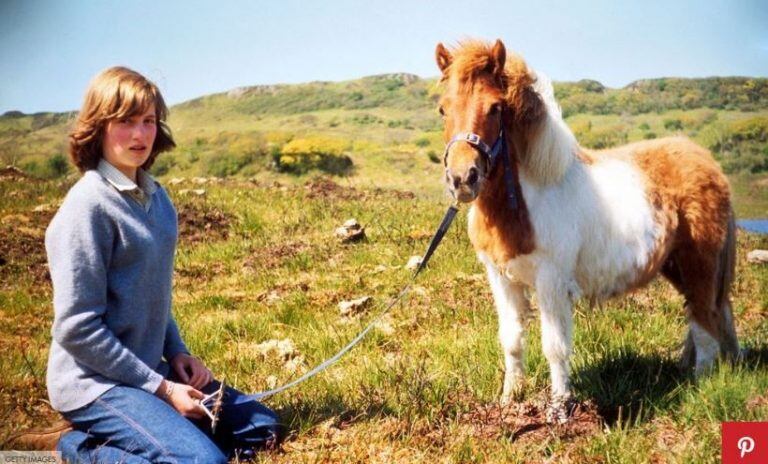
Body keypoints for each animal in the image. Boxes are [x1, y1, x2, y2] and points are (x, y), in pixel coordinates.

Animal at [432, 40, 736, 424]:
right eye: (443, 109)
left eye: (495, 108)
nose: (462, 179)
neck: (531, 196)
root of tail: (709, 163)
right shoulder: (500, 277)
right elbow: (511, 339)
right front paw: (509, 401)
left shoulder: (551, 281)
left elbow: (555, 346)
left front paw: (560, 408)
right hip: (677, 267)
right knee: (707, 318)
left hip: (699, 267)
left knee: (705, 323)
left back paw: (700, 385)